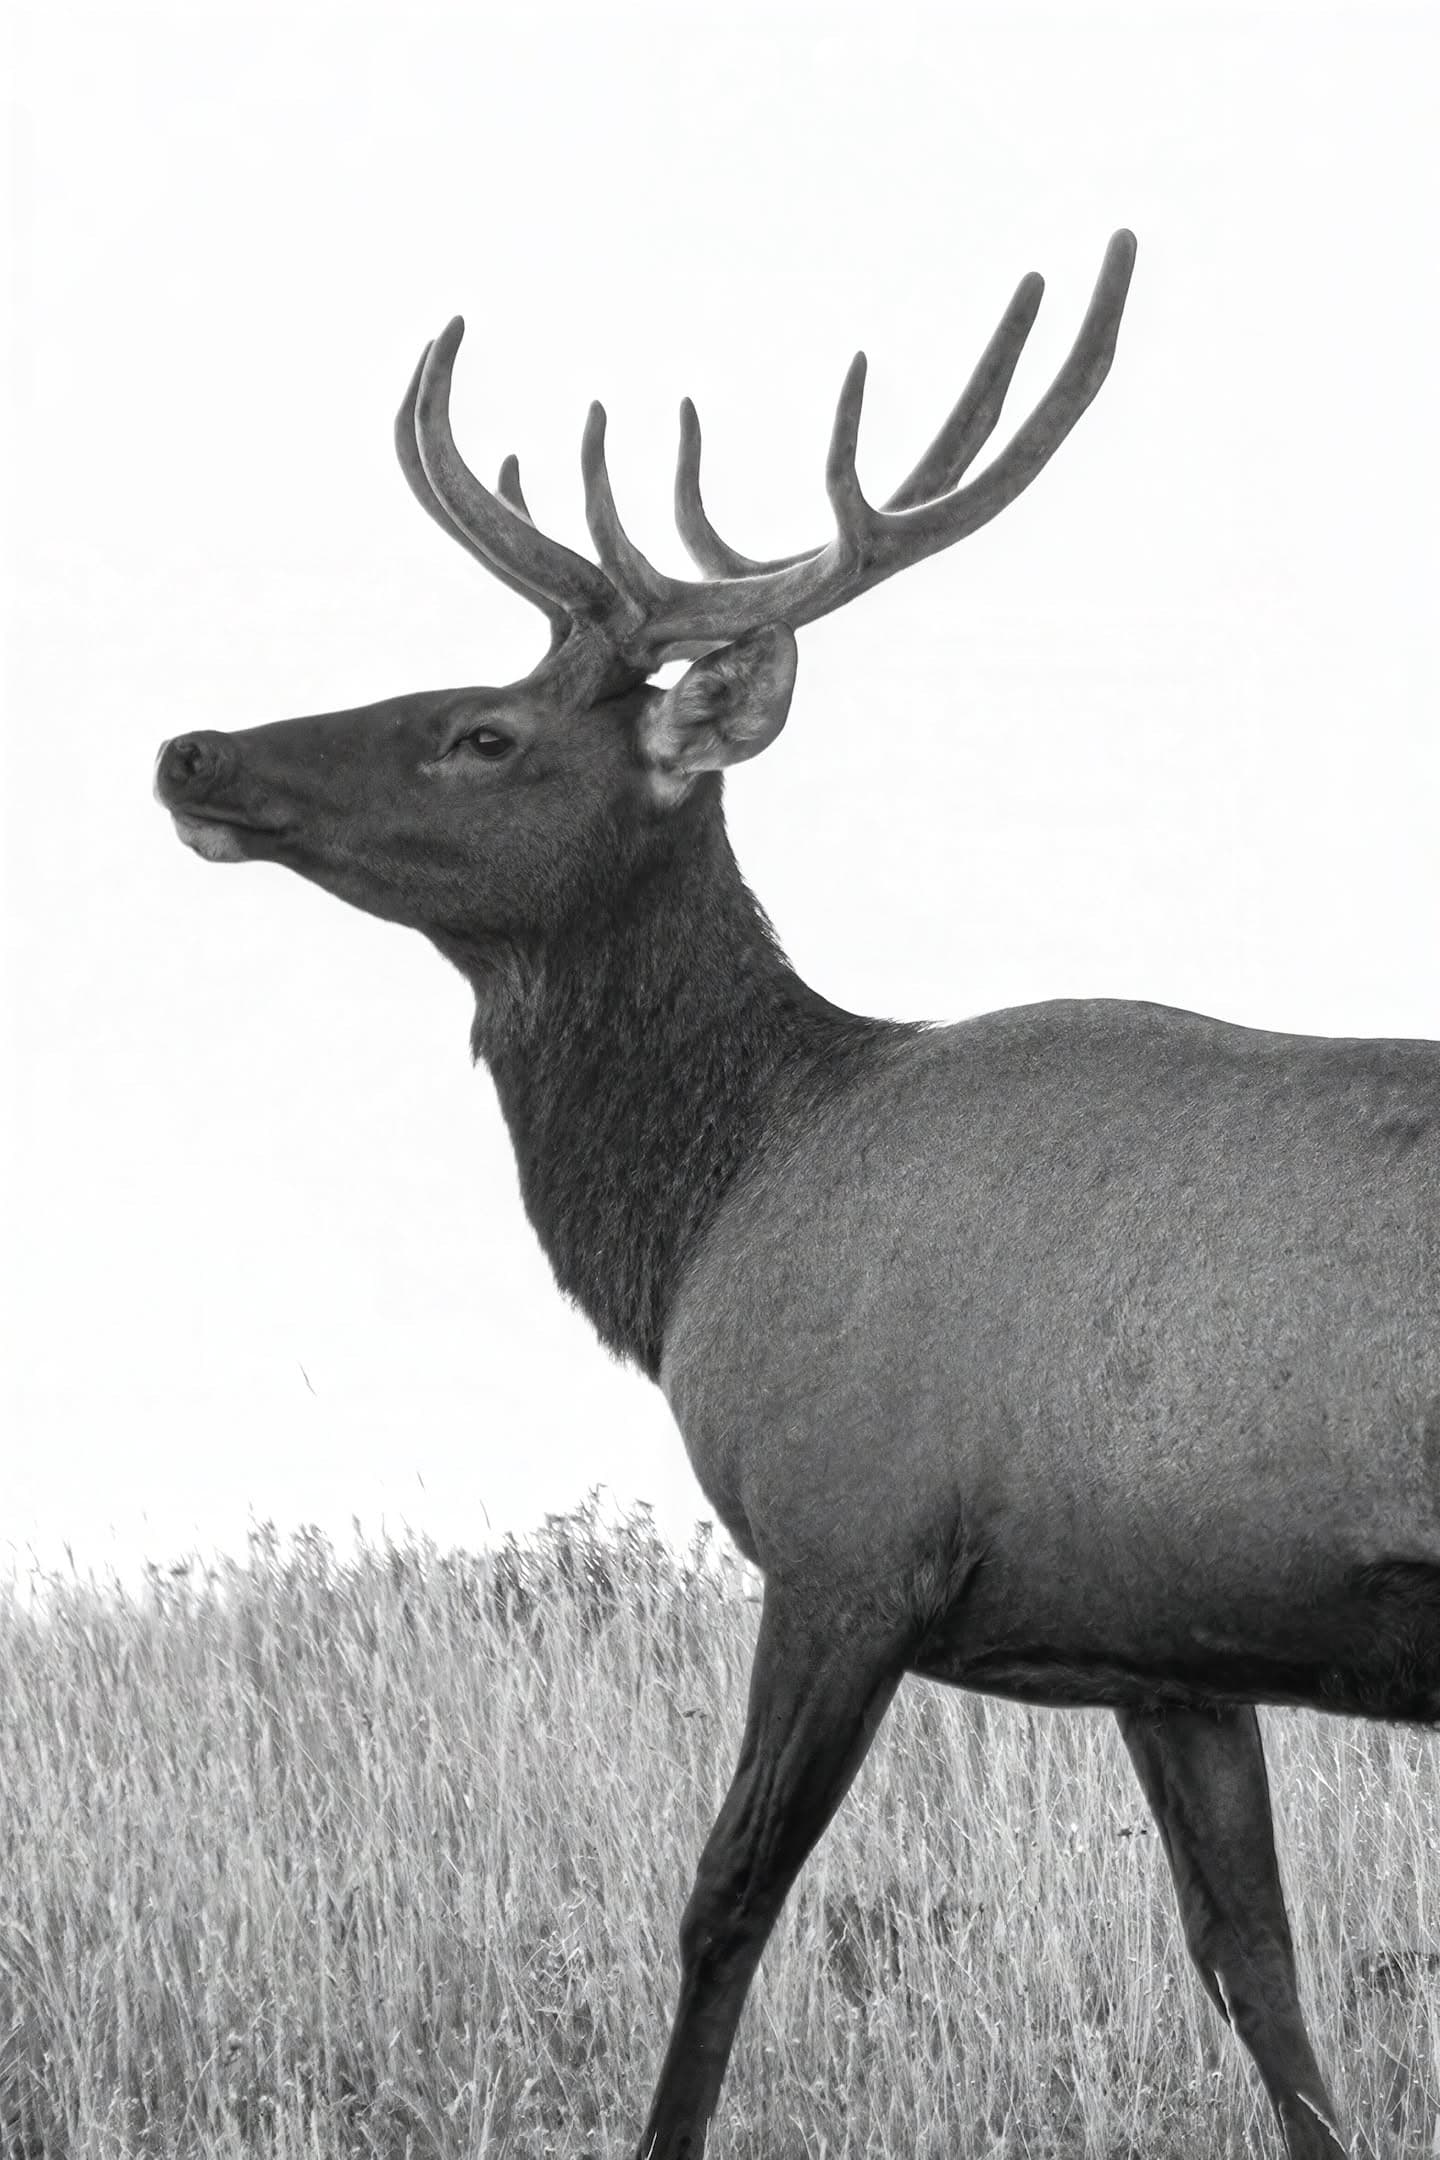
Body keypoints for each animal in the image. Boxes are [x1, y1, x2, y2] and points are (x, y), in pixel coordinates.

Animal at [153, 227, 1440, 2160]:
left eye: (483, 732)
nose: (197, 755)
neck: (723, 1201)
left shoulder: (847, 1547)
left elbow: (720, 1913)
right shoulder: (1172, 1646)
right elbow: (1258, 1978)